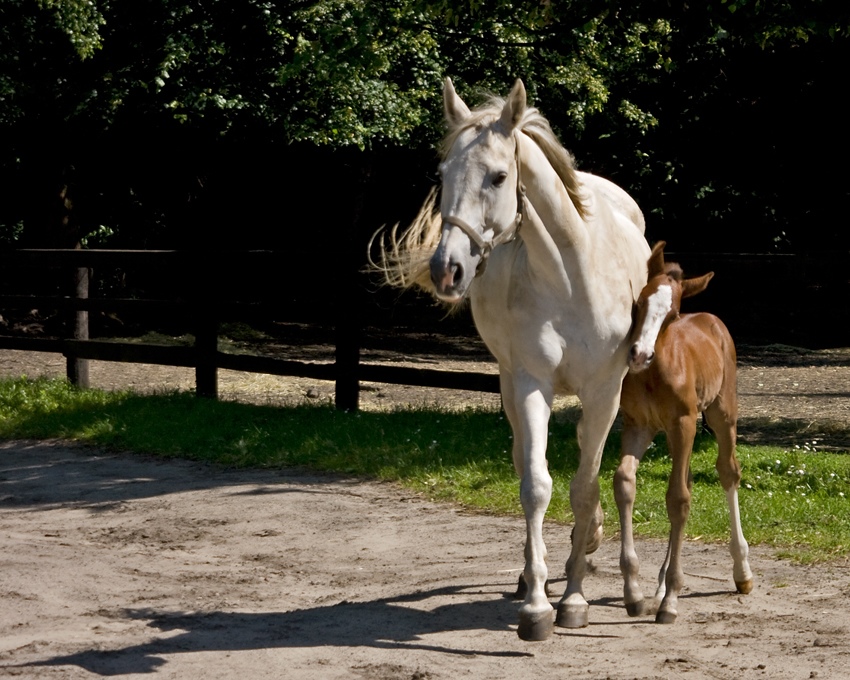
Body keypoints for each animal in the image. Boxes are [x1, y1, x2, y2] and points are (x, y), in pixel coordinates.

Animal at [378, 78, 648, 636]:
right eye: (442, 175)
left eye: (499, 176)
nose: (447, 269)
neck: (571, 275)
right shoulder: (529, 385)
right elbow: (536, 486)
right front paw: (539, 606)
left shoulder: (604, 392)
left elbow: (585, 488)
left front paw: (574, 598)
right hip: (507, 384)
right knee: (526, 460)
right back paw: (533, 574)